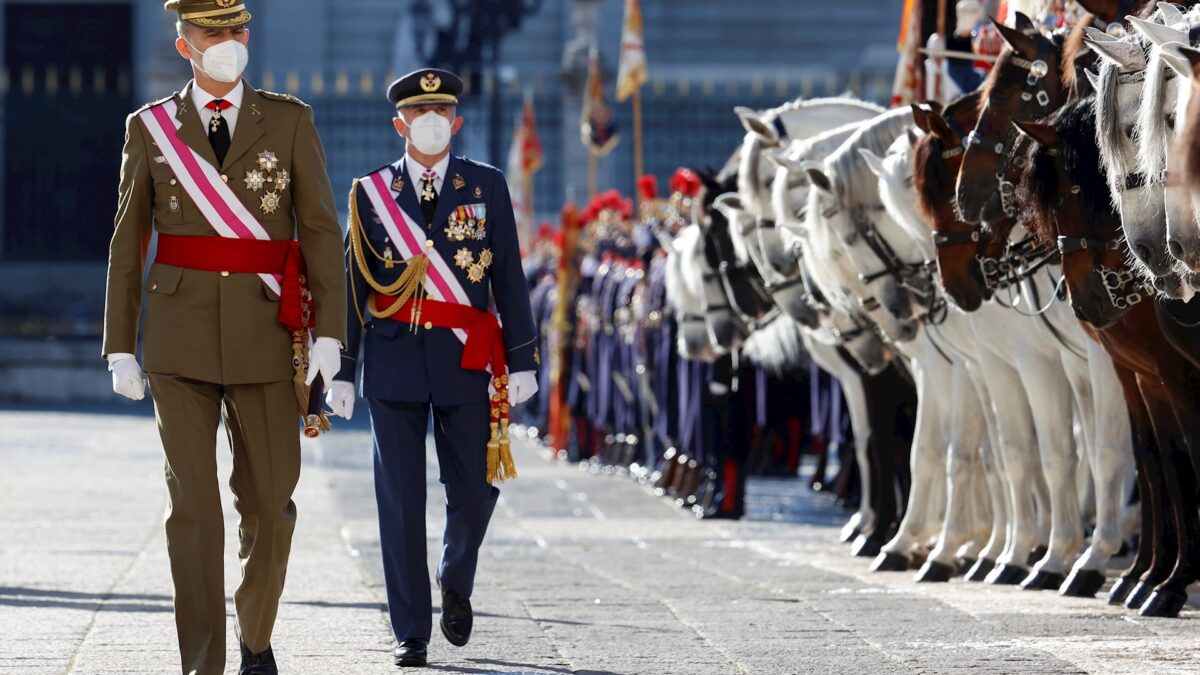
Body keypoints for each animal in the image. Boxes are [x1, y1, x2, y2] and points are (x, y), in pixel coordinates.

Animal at [1017, 96, 1200, 614]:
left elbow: (1180, 457)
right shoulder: (1139, 375)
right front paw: (1152, 575)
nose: (1085, 302)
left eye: (1073, 192)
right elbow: (1156, 458)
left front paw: (1168, 580)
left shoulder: (1171, 372)